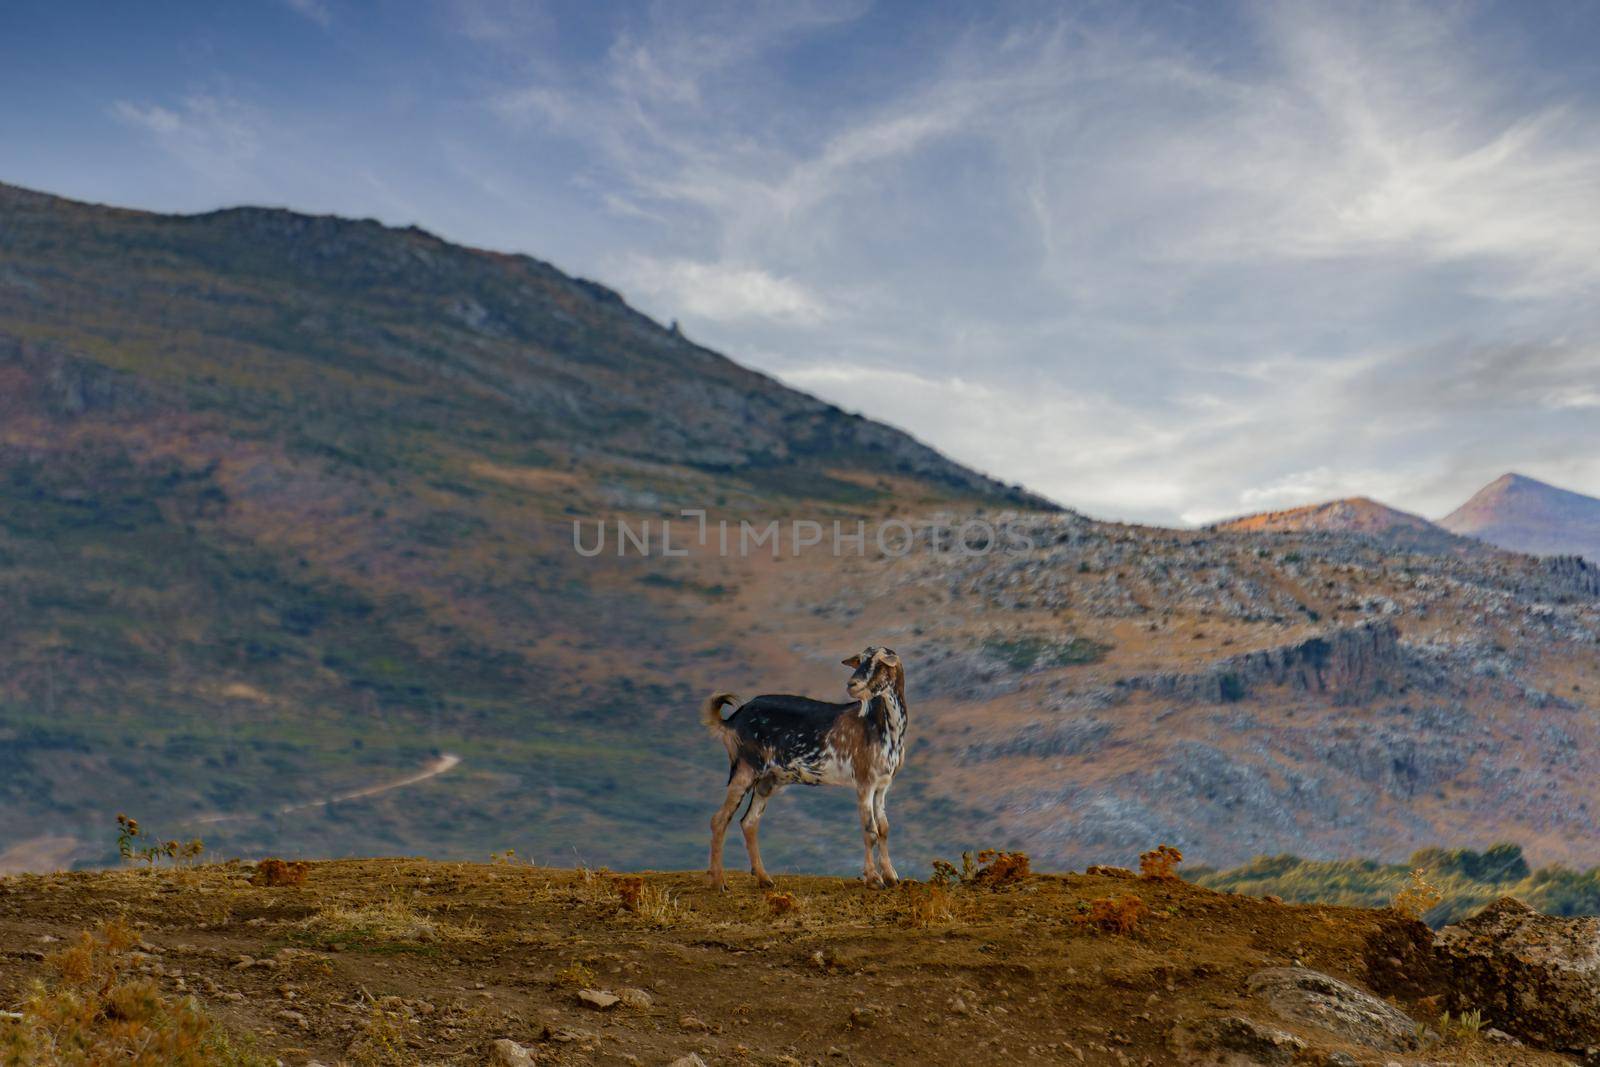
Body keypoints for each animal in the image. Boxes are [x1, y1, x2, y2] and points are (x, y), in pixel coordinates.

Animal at [697, 643, 908, 895]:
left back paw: (764, 879)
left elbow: (884, 828)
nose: (852, 684)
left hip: (768, 780)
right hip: (746, 768)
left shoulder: (882, 785)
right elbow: (870, 831)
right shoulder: (864, 781)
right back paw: (719, 882)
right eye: (861, 660)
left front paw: (892, 876)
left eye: (880, 663)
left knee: (749, 822)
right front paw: (874, 879)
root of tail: (732, 720)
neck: (881, 727)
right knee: (719, 819)